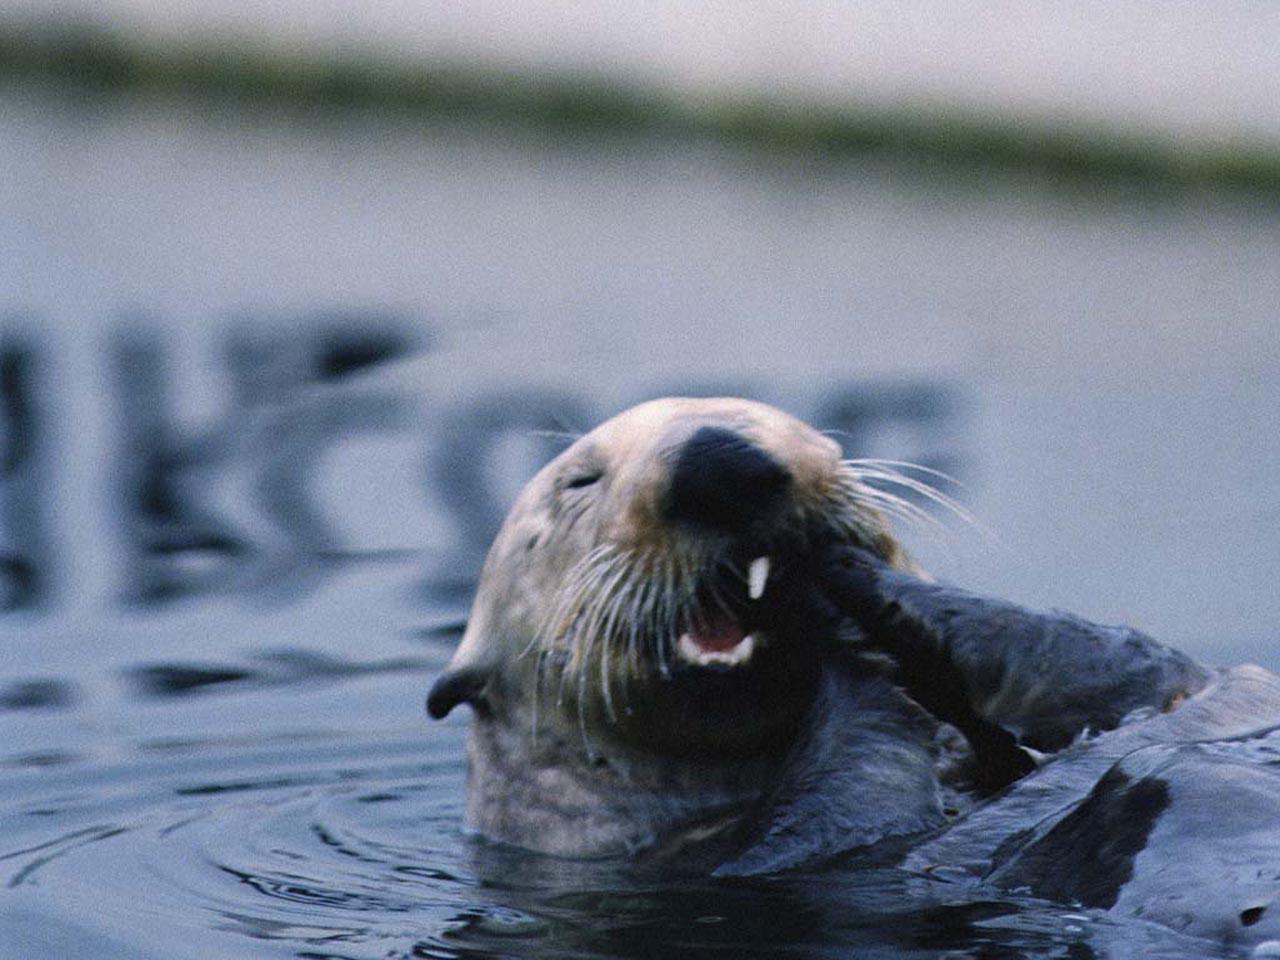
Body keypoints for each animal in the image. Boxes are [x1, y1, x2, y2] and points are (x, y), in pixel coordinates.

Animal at [424, 396, 1280, 947]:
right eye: (580, 482)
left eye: (757, 414)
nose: (720, 460)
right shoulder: (774, 858)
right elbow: (849, 799)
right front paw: (845, 620)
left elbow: (1148, 670)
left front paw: (863, 579)